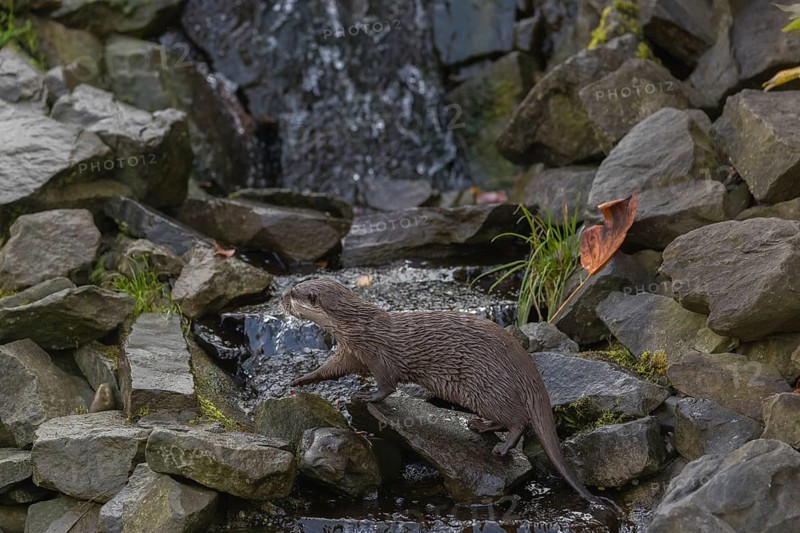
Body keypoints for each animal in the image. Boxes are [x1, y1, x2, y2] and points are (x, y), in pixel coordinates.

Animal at [283, 278, 599, 504]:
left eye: (296, 292)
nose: (283, 296)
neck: (359, 328)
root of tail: (527, 367)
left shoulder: (379, 356)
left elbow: (386, 385)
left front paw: (367, 396)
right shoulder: (350, 352)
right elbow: (330, 369)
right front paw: (301, 380)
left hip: (490, 388)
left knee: (518, 421)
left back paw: (501, 446)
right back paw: (478, 426)